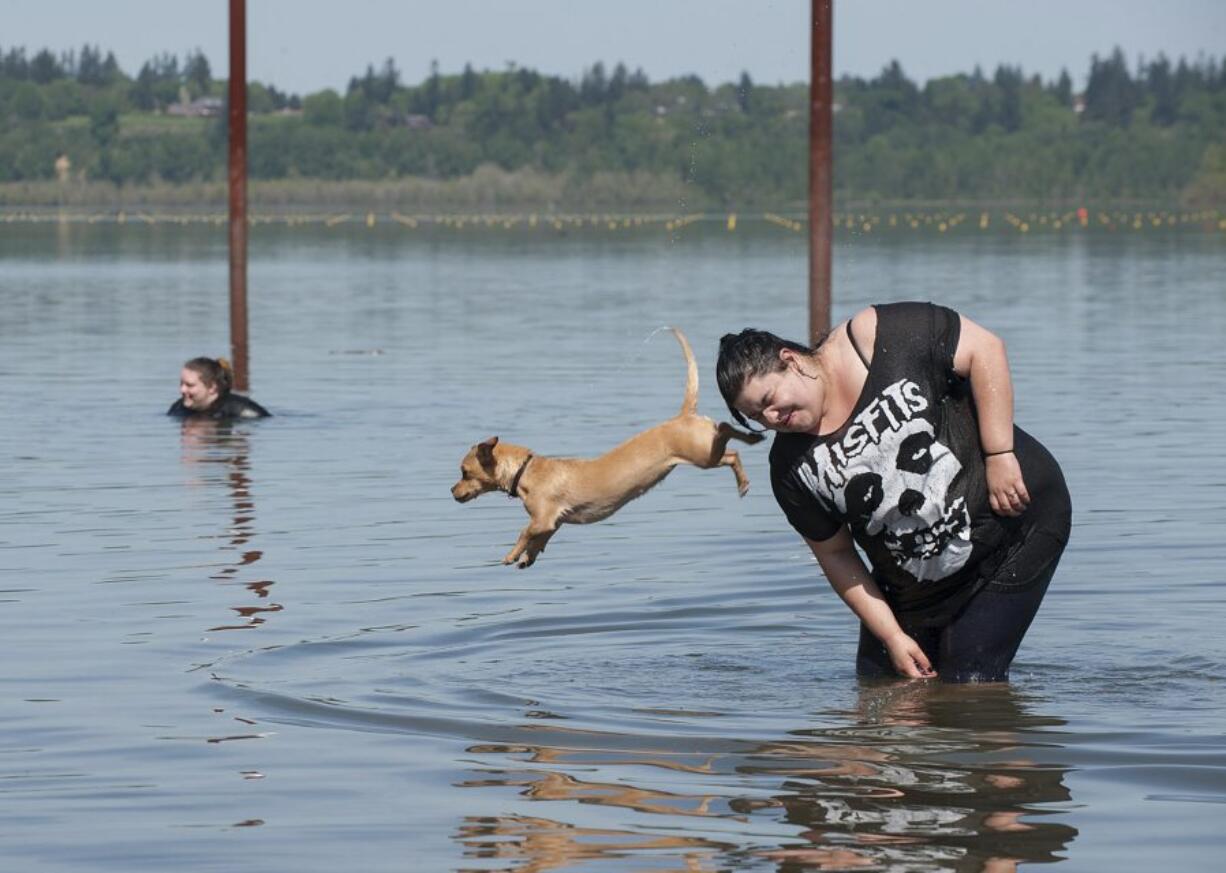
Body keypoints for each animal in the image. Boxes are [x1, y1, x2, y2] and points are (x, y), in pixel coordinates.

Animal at [451, 328, 760, 566]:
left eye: (464, 472)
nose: (452, 491)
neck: (526, 470)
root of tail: (683, 415)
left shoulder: (541, 518)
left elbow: (524, 533)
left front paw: (511, 555)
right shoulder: (552, 523)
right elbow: (539, 539)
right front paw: (527, 558)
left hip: (703, 455)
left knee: (728, 442)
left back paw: (745, 472)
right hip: (705, 450)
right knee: (728, 434)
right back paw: (752, 439)